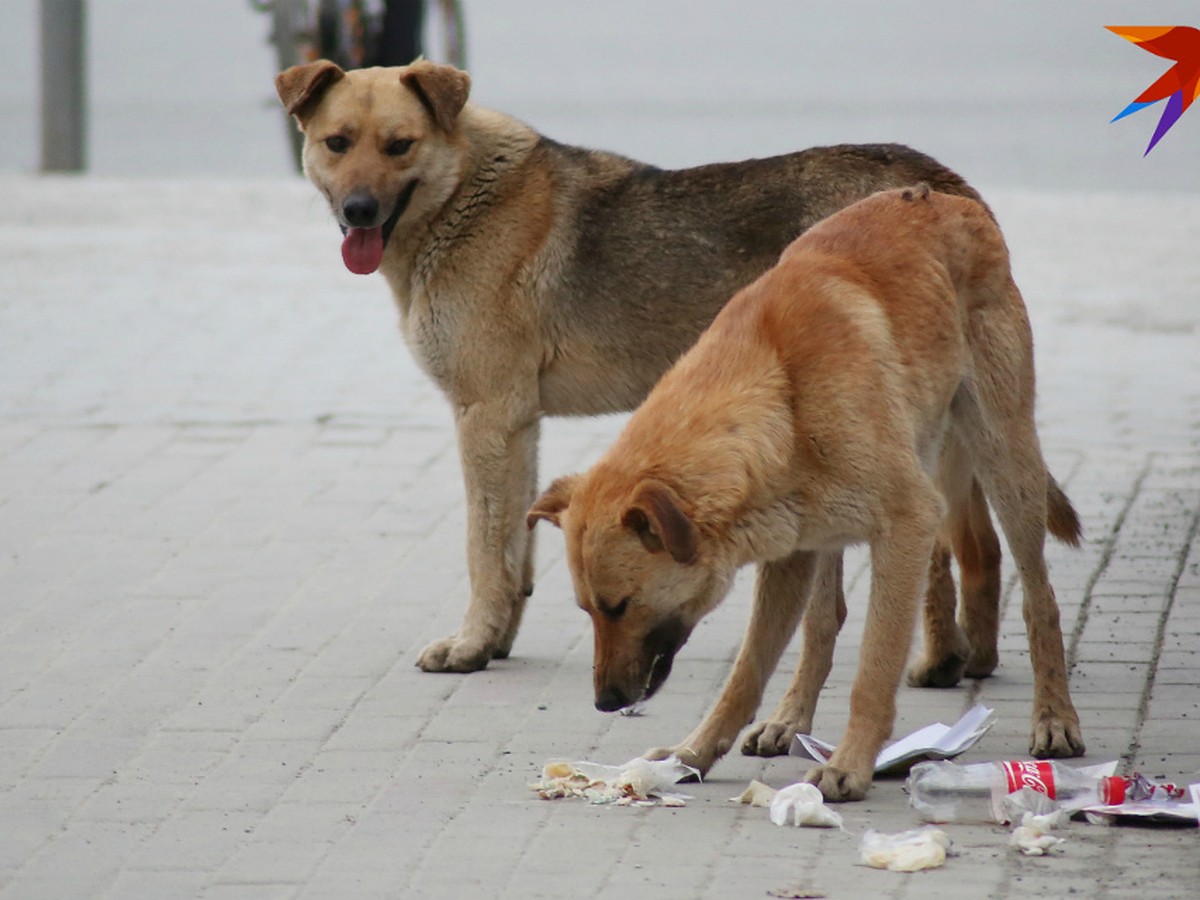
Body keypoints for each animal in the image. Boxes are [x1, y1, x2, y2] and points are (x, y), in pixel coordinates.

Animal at [276, 60, 1027, 686]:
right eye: (337, 143)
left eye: (399, 146)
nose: (358, 212)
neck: (465, 195)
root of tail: (939, 184)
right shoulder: (517, 425)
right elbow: (516, 550)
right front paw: (495, 642)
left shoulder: (485, 417)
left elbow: (484, 548)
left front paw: (469, 647)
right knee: (974, 549)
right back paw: (962, 661)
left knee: (938, 551)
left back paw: (934, 664)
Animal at [530, 184, 1084, 801]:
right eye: (588, 610)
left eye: (618, 606)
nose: (605, 703)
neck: (780, 391)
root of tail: (950, 199)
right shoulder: (788, 554)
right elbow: (748, 671)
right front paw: (694, 752)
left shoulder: (908, 526)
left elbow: (874, 668)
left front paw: (851, 763)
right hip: (826, 528)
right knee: (823, 621)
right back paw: (790, 718)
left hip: (1006, 460)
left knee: (1040, 597)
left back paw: (1055, 717)